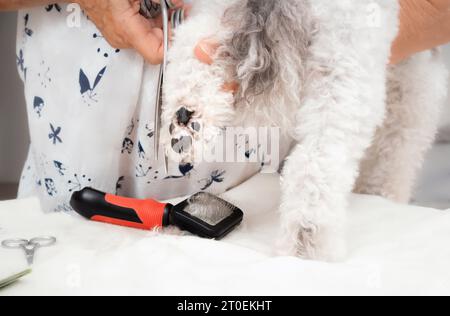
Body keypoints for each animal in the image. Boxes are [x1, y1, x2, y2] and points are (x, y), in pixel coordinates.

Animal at [160, 0, 448, 260]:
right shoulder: (416, 79)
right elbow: (395, 150)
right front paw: (381, 194)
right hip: (345, 62)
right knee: (315, 163)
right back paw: (307, 241)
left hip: (218, 17)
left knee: (193, 51)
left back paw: (186, 122)